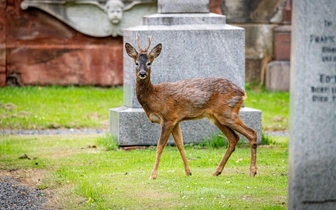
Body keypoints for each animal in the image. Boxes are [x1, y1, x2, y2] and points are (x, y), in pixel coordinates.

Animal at [124, 34, 258, 179]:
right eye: (136, 63)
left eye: (149, 63)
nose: (142, 73)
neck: (154, 97)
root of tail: (243, 93)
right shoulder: (176, 120)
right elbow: (180, 144)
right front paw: (188, 171)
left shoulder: (168, 117)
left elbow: (160, 146)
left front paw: (153, 175)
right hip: (217, 117)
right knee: (234, 138)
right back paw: (217, 171)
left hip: (227, 112)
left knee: (251, 133)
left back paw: (252, 171)